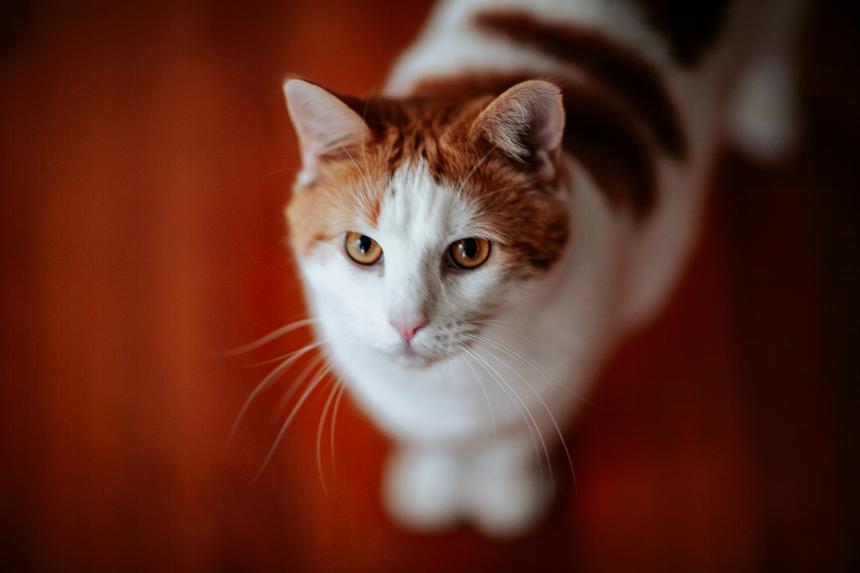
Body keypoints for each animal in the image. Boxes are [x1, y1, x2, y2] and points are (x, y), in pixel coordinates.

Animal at [278, 0, 804, 536]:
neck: (448, 387)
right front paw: (433, 479)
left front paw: (505, 491)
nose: (406, 324)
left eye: (469, 251)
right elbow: (431, 438)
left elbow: (514, 441)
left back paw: (765, 107)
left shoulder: (568, 374)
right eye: (362, 247)